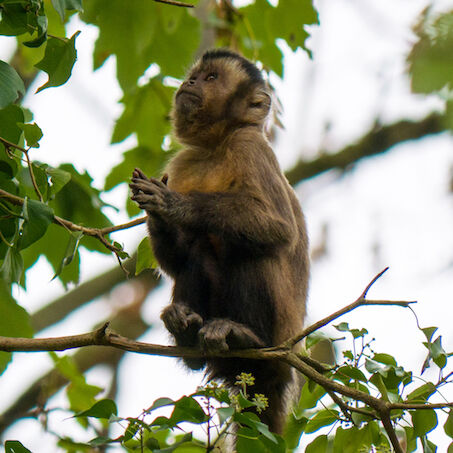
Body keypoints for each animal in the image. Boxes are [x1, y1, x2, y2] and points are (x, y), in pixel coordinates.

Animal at [129, 49, 308, 434]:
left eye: (211, 78)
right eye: (196, 76)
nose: (189, 82)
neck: (217, 145)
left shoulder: (251, 147)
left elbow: (279, 228)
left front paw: (175, 206)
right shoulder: (182, 163)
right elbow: (175, 261)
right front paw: (159, 217)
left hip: (279, 342)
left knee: (246, 248)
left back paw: (245, 337)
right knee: (199, 251)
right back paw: (185, 332)